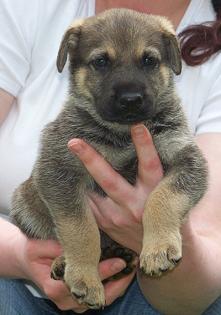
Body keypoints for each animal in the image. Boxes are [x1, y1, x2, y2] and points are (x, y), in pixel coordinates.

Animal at [10, 9, 207, 312]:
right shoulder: (59, 171)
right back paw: (64, 262)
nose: (131, 99)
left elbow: (163, 198)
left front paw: (159, 247)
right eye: (101, 62)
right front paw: (85, 277)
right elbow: (81, 229)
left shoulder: (187, 158)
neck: (123, 135)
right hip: (25, 203)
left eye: (149, 60)